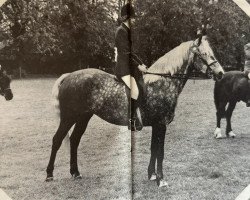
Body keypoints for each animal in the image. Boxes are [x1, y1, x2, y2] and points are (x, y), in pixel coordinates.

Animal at [46, 35, 225, 187]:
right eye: (203, 54)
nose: (220, 73)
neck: (163, 82)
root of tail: (69, 76)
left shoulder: (156, 125)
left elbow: (154, 149)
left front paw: (152, 175)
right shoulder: (161, 125)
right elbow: (160, 152)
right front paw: (161, 180)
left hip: (83, 117)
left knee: (74, 140)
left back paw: (75, 173)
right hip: (68, 118)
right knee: (57, 140)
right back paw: (49, 175)